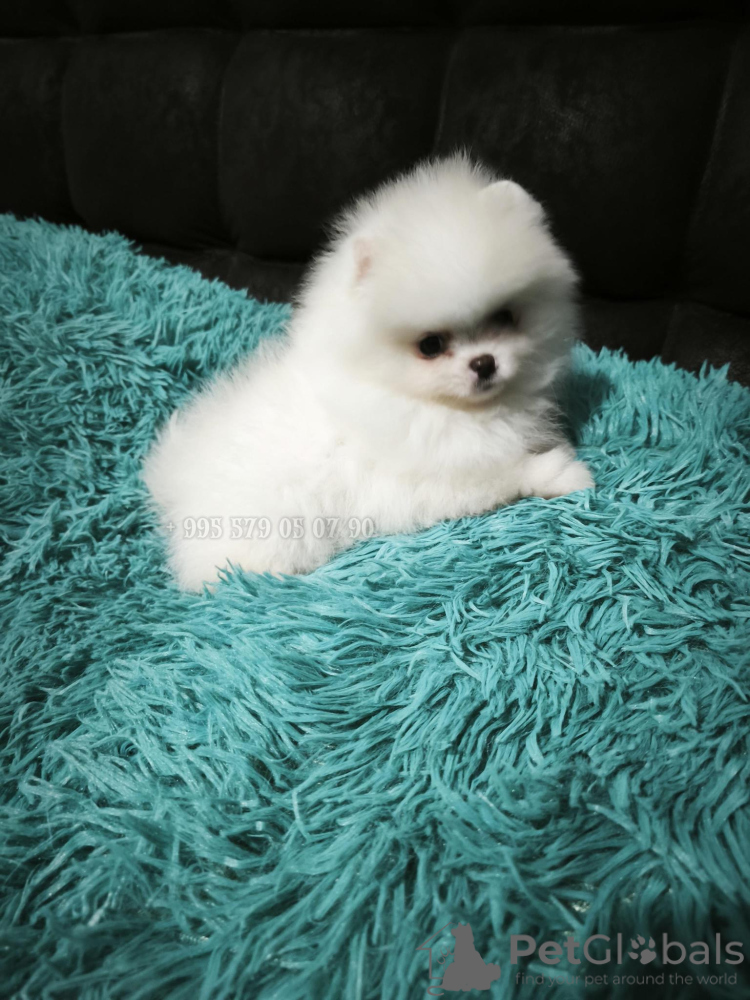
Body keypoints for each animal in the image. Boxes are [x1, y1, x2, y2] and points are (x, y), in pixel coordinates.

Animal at [143, 154, 593, 590]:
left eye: (504, 317)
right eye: (430, 345)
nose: (484, 363)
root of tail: (176, 485)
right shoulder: (429, 480)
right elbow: (507, 472)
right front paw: (563, 472)